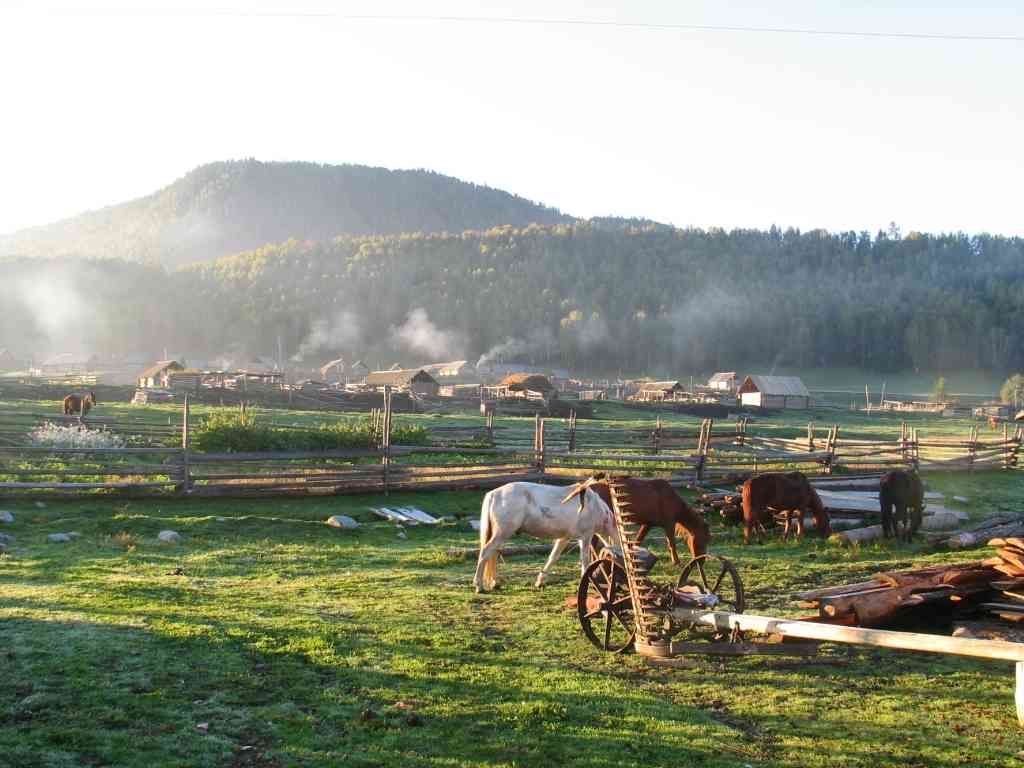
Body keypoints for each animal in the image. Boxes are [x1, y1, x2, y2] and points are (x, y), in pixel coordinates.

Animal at [468, 483, 614, 593]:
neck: (594, 507)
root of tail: (493, 494)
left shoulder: (564, 539)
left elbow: (553, 557)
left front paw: (540, 581)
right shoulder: (585, 537)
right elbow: (585, 560)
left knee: (492, 554)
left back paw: (494, 583)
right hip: (502, 533)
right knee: (486, 553)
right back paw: (479, 585)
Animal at [565, 473, 708, 569]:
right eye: (703, 539)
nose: (701, 561)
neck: (671, 499)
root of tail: (587, 486)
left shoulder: (648, 524)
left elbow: (638, 540)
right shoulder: (669, 524)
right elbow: (671, 543)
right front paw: (677, 562)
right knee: (592, 543)